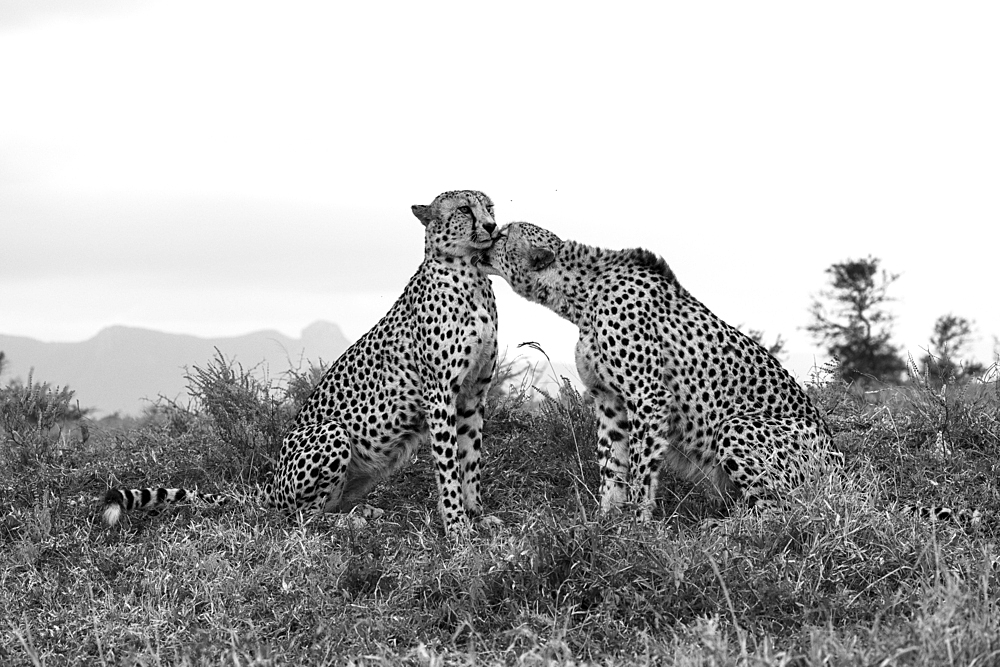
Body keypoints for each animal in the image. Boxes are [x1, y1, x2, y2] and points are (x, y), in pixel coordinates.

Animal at [103, 189, 500, 536]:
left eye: (490, 206)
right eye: (464, 209)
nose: (493, 225)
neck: (471, 274)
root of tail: (272, 482)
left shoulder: (472, 395)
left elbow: (471, 461)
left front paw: (477, 515)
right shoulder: (439, 395)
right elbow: (449, 467)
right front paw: (456, 527)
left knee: (323, 504)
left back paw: (362, 511)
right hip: (331, 432)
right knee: (300, 516)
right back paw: (349, 521)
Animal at [480, 222, 972, 524]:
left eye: (503, 234)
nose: (485, 236)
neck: (583, 292)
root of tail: (841, 465)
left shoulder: (649, 397)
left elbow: (640, 469)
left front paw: (636, 526)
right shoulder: (610, 400)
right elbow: (612, 466)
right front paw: (606, 520)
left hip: (738, 427)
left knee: (783, 511)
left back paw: (731, 532)